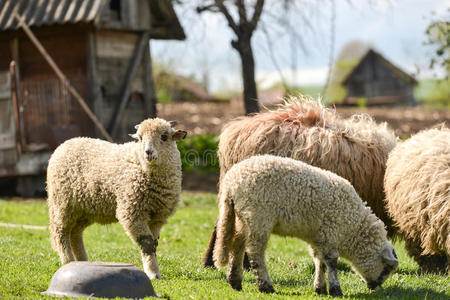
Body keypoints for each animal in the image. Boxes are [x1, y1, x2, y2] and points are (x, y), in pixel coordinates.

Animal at [46, 118, 186, 280]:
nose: (148, 152)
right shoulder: (131, 212)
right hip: (62, 203)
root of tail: (65, 144)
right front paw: (153, 273)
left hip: (83, 210)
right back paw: (67, 261)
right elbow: (147, 242)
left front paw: (154, 270)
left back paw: (81, 261)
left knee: (75, 234)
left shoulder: (158, 217)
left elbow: (154, 244)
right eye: (140, 138)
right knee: (60, 233)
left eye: (164, 136)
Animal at [214, 155, 398, 296]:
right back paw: (265, 286)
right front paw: (336, 289)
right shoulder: (330, 232)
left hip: (243, 217)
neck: (352, 227)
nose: (374, 288)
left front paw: (320, 288)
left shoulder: (319, 236)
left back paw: (235, 281)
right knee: (255, 253)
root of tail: (231, 183)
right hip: (258, 216)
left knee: (237, 245)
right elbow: (331, 262)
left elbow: (319, 261)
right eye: (386, 269)